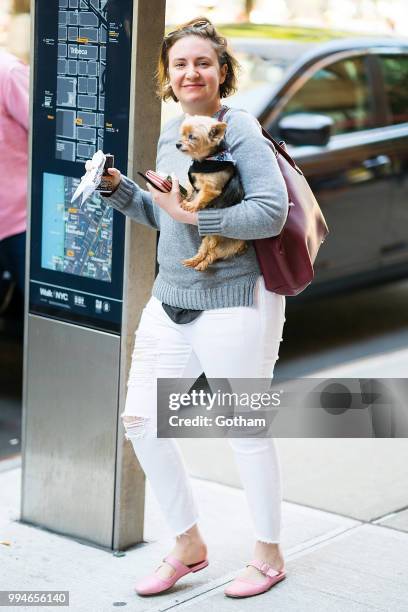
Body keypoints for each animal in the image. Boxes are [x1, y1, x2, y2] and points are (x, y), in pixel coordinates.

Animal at [175, 113, 245, 272]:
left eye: (191, 137)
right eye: (182, 134)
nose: (177, 144)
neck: (207, 160)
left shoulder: (210, 188)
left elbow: (201, 197)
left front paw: (191, 205)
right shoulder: (196, 182)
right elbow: (191, 188)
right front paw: (187, 198)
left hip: (225, 245)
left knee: (211, 254)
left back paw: (201, 264)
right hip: (211, 241)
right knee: (205, 251)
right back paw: (194, 261)